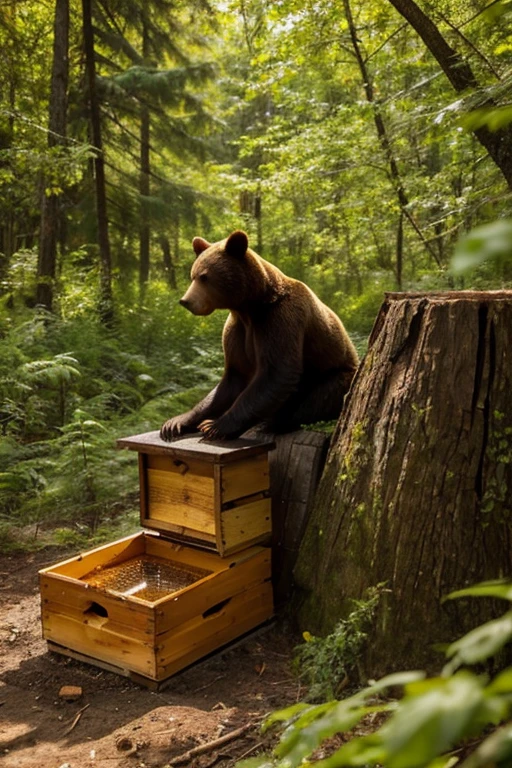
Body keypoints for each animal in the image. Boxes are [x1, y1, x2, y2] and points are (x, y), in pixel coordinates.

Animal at [161, 230, 360, 444]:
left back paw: (274, 421)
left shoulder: (280, 320)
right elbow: (232, 377)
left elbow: (277, 374)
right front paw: (175, 423)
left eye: (205, 277)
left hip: (335, 375)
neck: (249, 307)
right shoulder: (237, 329)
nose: (186, 301)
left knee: (316, 400)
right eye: (193, 275)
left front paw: (214, 426)